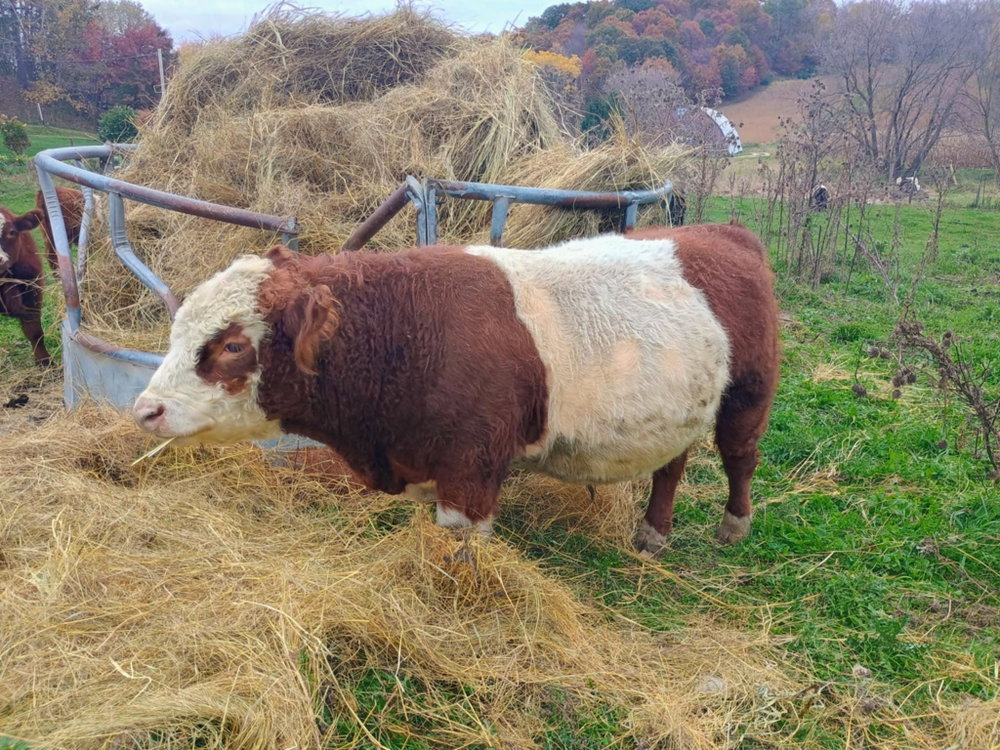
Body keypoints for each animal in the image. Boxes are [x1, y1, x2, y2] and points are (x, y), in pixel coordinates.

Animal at [133, 223, 779, 553]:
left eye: (232, 345)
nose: (145, 409)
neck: (405, 330)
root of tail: (721, 231)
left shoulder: (471, 470)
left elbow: (464, 552)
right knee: (672, 465)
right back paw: (653, 532)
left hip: (749, 394)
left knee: (740, 457)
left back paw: (734, 526)